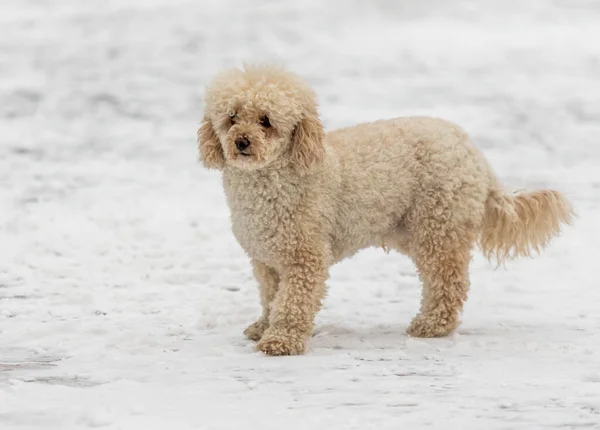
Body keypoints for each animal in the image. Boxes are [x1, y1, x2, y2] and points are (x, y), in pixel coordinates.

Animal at [197, 64, 572, 356]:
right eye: (232, 117)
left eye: (266, 120)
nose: (241, 142)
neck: (273, 180)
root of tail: (473, 151)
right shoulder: (266, 260)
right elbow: (271, 297)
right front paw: (263, 327)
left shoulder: (305, 258)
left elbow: (292, 302)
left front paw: (282, 340)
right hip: (416, 228)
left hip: (438, 226)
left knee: (449, 281)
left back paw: (432, 325)